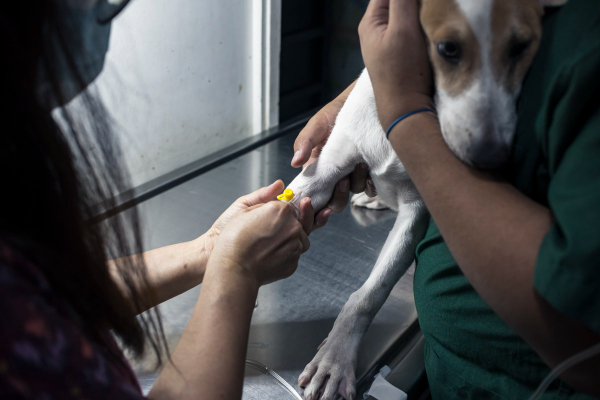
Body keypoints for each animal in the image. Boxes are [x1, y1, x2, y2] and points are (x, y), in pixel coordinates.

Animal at [284, 1, 568, 398]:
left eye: (521, 47)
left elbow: (368, 295)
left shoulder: (417, 214)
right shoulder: (328, 166)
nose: (491, 156)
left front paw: (335, 360)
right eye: (448, 49)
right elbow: (289, 201)